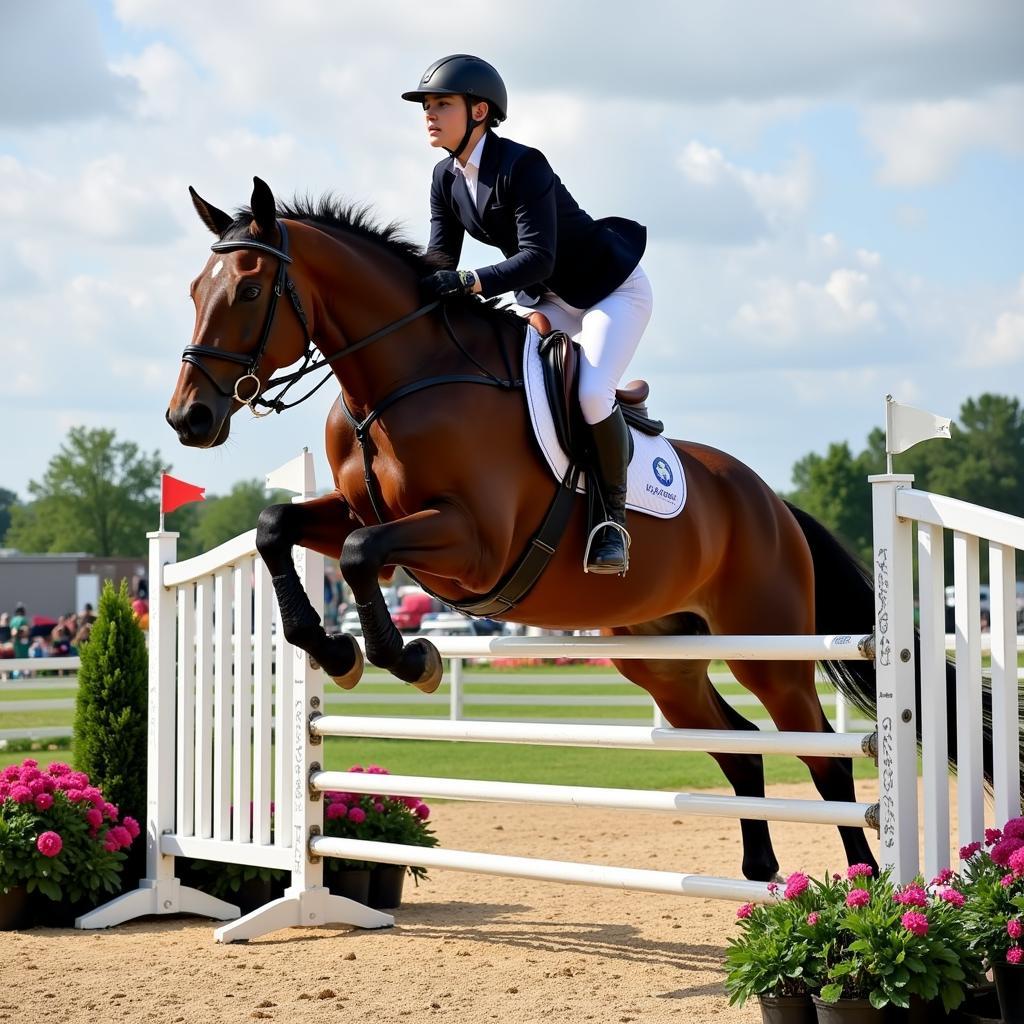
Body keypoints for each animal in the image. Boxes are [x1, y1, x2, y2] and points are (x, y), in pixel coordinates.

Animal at [165, 176, 958, 880]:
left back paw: (861, 886)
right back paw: (760, 874)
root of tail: (773, 503)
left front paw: (409, 659)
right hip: (661, 656)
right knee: (737, 743)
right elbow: (277, 527)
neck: (396, 382)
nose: (188, 418)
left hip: (771, 648)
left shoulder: (473, 546)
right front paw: (333, 649)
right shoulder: (363, 518)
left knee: (822, 755)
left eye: (248, 291)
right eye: (194, 290)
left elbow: (362, 555)